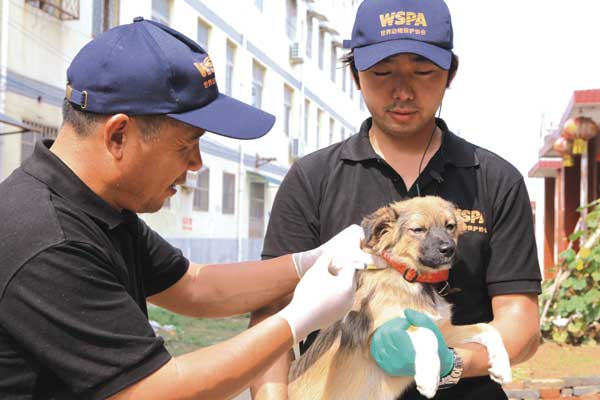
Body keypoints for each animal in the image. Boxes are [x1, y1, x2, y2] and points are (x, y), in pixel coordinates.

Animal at [288, 197, 510, 400]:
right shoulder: (376, 335)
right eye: (418, 229)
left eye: (450, 226)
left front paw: (502, 365)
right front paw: (429, 379)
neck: (414, 279)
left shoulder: (444, 331)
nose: (449, 249)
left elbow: (486, 328)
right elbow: (424, 332)